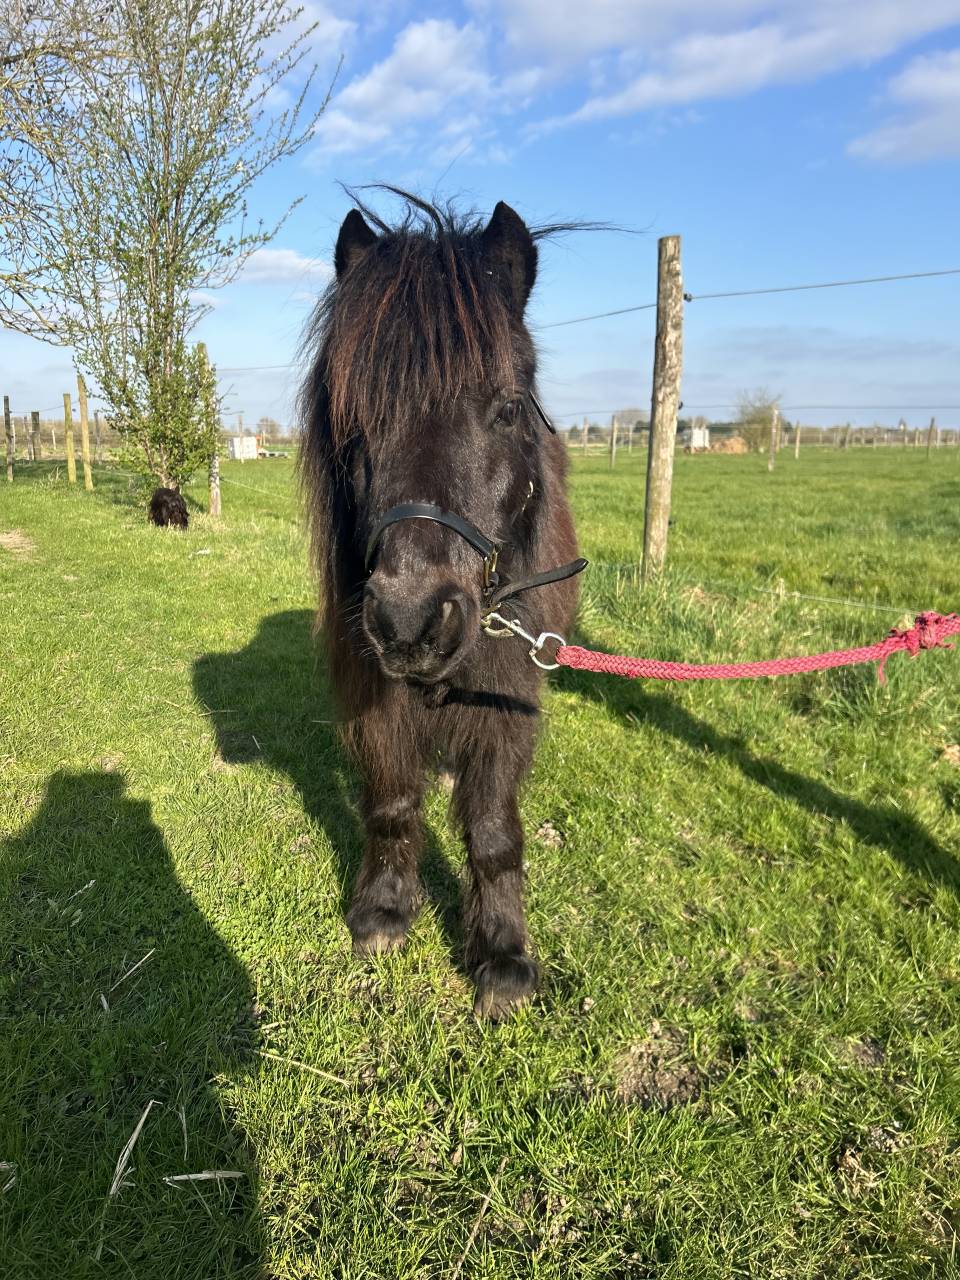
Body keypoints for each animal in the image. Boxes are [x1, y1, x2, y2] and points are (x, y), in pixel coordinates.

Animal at [298, 191, 585, 1018]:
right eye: (352, 417)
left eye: (508, 408)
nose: (410, 621)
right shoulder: (376, 692)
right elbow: (393, 798)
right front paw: (386, 908)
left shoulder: (507, 698)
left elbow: (492, 829)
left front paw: (502, 955)